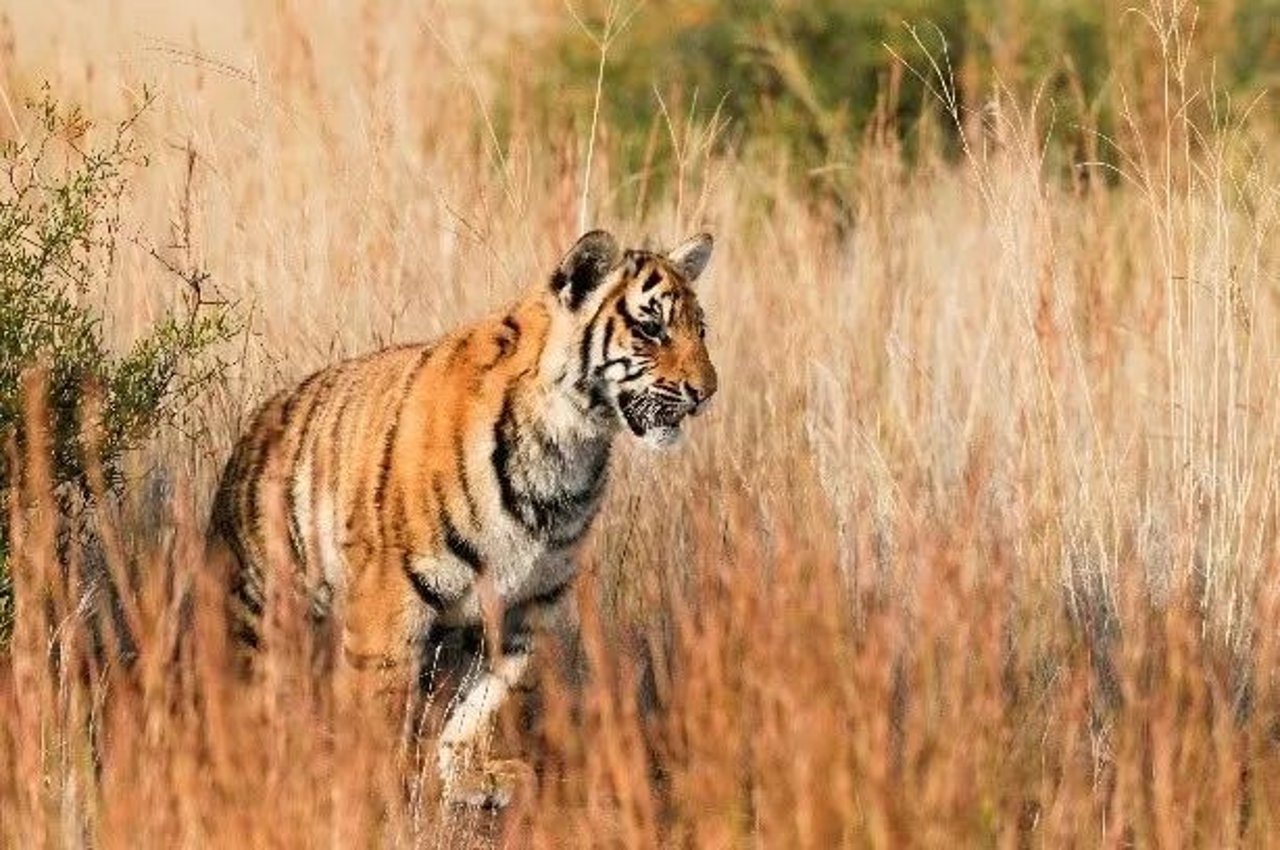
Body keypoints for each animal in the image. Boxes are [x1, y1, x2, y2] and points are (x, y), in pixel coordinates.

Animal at [204, 229, 716, 809]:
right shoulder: (390, 595)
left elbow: (484, 700)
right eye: (651, 329)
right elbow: (381, 704)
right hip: (262, 604)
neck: (571, 446)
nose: (707, 392)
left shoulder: (523, 603)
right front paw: (376, 788)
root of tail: (255, 426)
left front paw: (470, 776)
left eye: (700, 330)